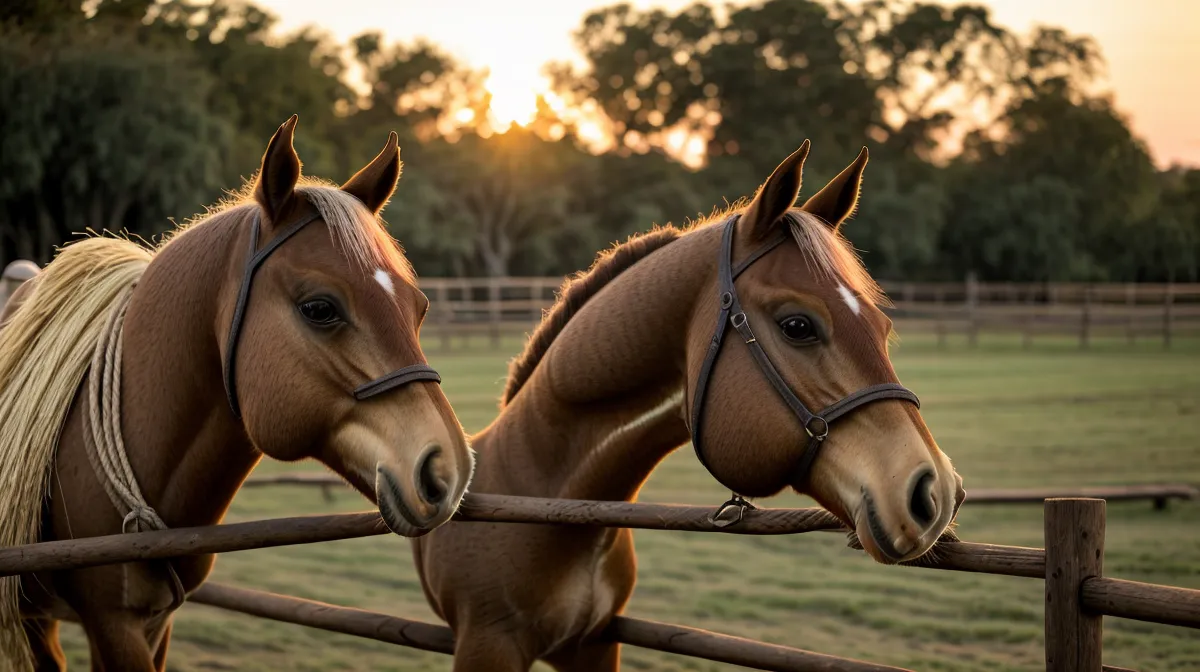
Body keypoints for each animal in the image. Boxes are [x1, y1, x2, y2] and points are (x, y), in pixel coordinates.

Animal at [413, 142, 966, 671]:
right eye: (797, 326)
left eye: (883, 327)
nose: (936, 491)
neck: (543, 495)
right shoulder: (488, 646)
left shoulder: (594, 644)